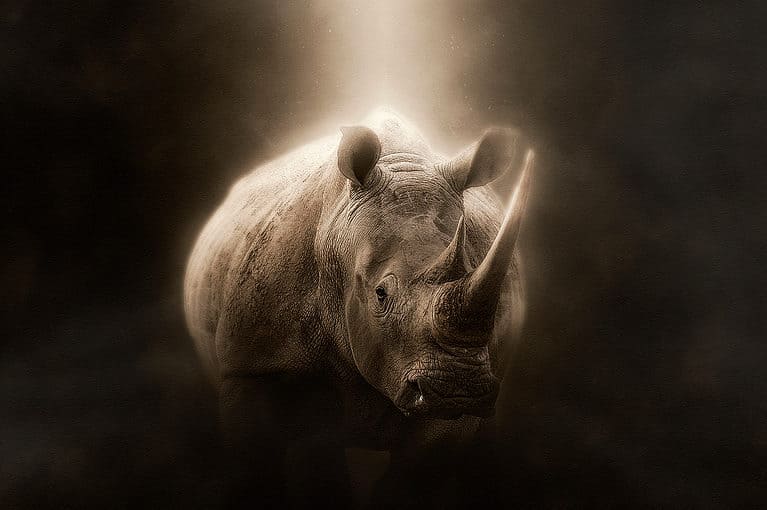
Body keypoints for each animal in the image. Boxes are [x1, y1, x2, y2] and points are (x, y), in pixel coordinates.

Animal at [183, 108, 533, 507]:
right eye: (380, 294)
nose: (457, 387)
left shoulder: (457, 408)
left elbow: (410, 481)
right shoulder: (251, 368)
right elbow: (266, 468)